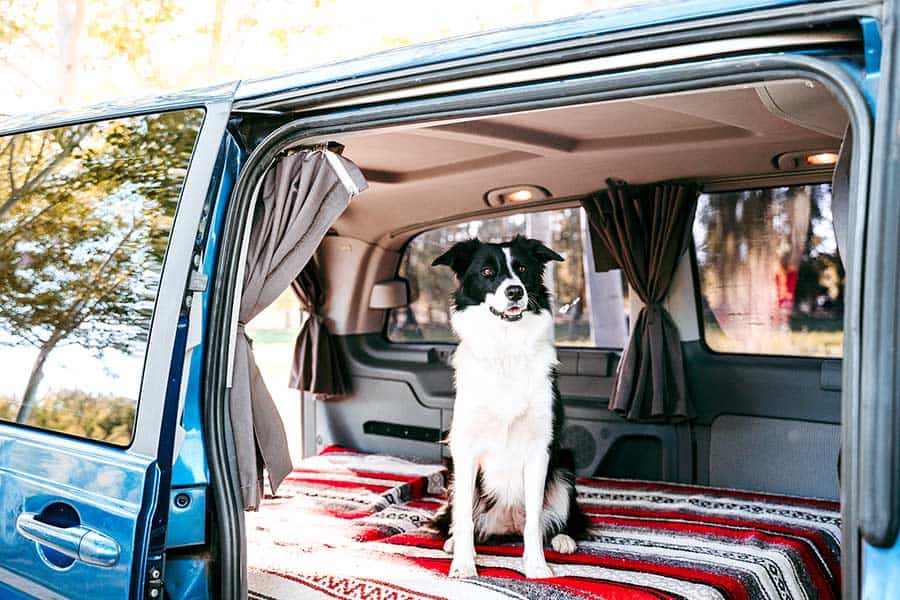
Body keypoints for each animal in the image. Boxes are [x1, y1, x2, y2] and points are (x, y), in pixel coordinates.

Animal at [430, 233, 592, 576]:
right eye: (487, 272)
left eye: (522, 268)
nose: (515, 291)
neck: (505, 347)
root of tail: (506, 525)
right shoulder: (464, 449)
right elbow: (463, 518)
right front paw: (463, 564)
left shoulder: (540, 449)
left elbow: (534, 522)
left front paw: (537, 567)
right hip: (455, 477)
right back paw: (453, 542)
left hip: (564, 467)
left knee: (554, 520)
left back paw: (563, 539)